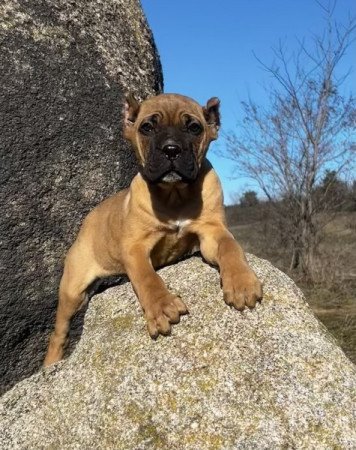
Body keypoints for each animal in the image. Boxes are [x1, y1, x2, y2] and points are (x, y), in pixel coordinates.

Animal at [43, 94, 262, 366]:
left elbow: (230, 247)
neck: (174, 195)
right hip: (73, 291)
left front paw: (241, 282)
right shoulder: (135, 248)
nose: (171, 149)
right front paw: (161, 306)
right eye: (147, 127)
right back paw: (51, 362)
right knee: (59, 332)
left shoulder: (212, 232)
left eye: (194, 128)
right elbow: (147, 278)